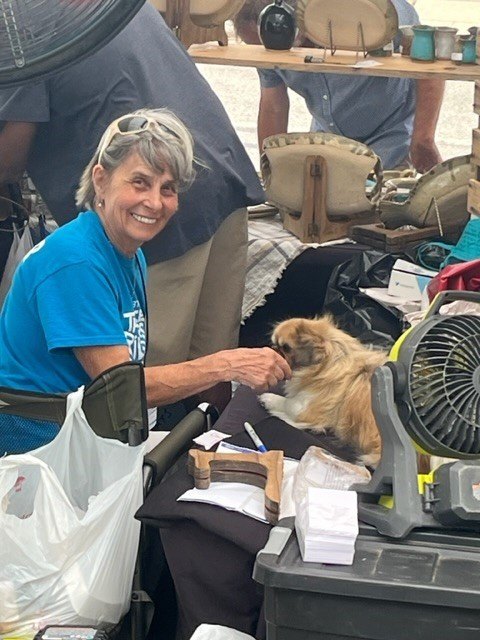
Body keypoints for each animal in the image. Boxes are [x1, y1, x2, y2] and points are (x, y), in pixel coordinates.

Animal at [260, 316, 388, 464]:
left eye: (286, 348)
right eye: (275, 343)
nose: (274, 349)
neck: (324, 366)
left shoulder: (304, 407)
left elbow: (287, 403)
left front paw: (268, 399)